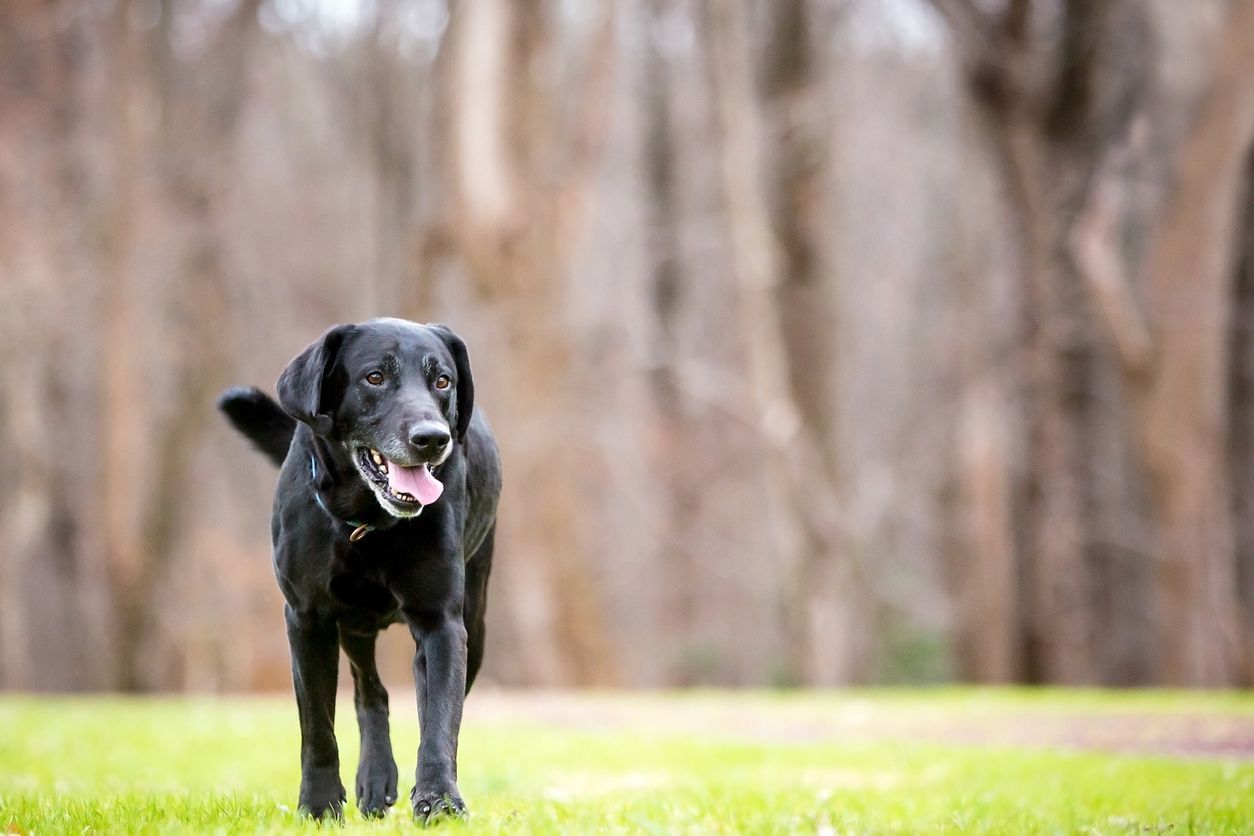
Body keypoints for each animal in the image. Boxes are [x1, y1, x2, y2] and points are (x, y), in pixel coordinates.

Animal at [218, 320, 501, 822]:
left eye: (442, 381)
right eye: (374, 377)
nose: (433, 438)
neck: (368, 520)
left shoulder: (442, 622)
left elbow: (439, 722)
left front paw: (439, 801)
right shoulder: (306, 619)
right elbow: (317, 726)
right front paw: (318, 805)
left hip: (474, 620)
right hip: (352, 624)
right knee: (371, 692)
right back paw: (375, 779)